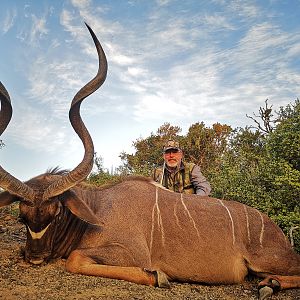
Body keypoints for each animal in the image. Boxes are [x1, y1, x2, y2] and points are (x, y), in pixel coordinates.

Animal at [0, 24, 298, 300]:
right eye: (22, 216)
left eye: (57, 213)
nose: (35, 257)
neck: (96, 209)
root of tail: (278, 233)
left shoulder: (131, 252)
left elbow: (75, 259)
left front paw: (158, 276)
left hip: (267, 261)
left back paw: (270, 284)